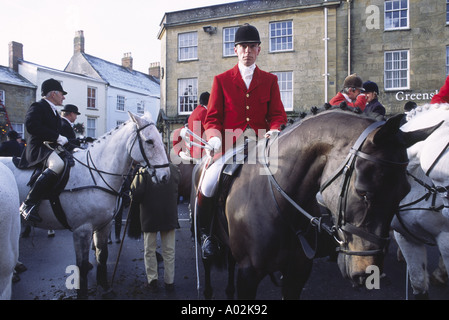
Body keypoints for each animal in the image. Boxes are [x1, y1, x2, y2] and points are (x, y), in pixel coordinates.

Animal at [0, 111, 168, 298]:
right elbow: (81, 267)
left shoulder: (103, 225)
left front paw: (105, 287)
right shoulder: (82, 230)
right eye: (149, 141)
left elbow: (102, 255)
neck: (96, 173)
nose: (165, 176)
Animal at [192, 109, 438, 298]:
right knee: (207, 263)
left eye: (404, 193)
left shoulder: (297, 272)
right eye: (363, 192)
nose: (369, 272)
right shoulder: (248, 274)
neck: (279, 203)